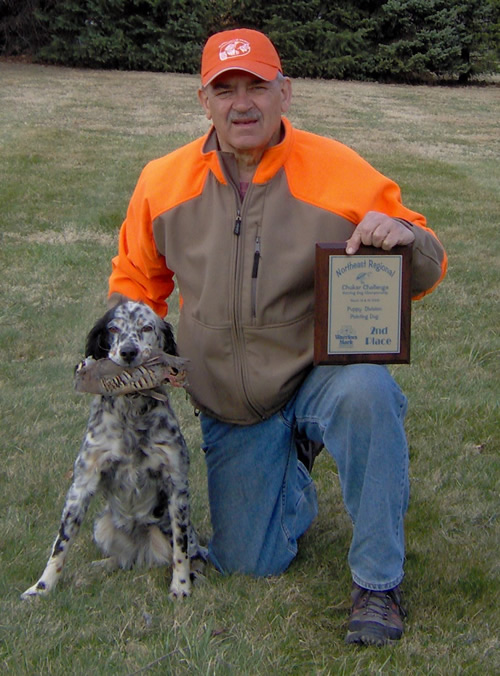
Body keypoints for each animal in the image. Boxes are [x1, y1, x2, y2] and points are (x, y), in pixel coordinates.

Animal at [21, 298, 205, 600]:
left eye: (146, 327)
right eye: (114, 328)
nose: (128, 352)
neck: (131, 412)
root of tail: (139, 552)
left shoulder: (176, 485)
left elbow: (181, 551)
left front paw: (180, 587)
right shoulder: (81, 485)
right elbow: (61, 544)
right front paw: (42, 587)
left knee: (188, 551)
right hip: (102, 525)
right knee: (120, 559)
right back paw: (94, 569)